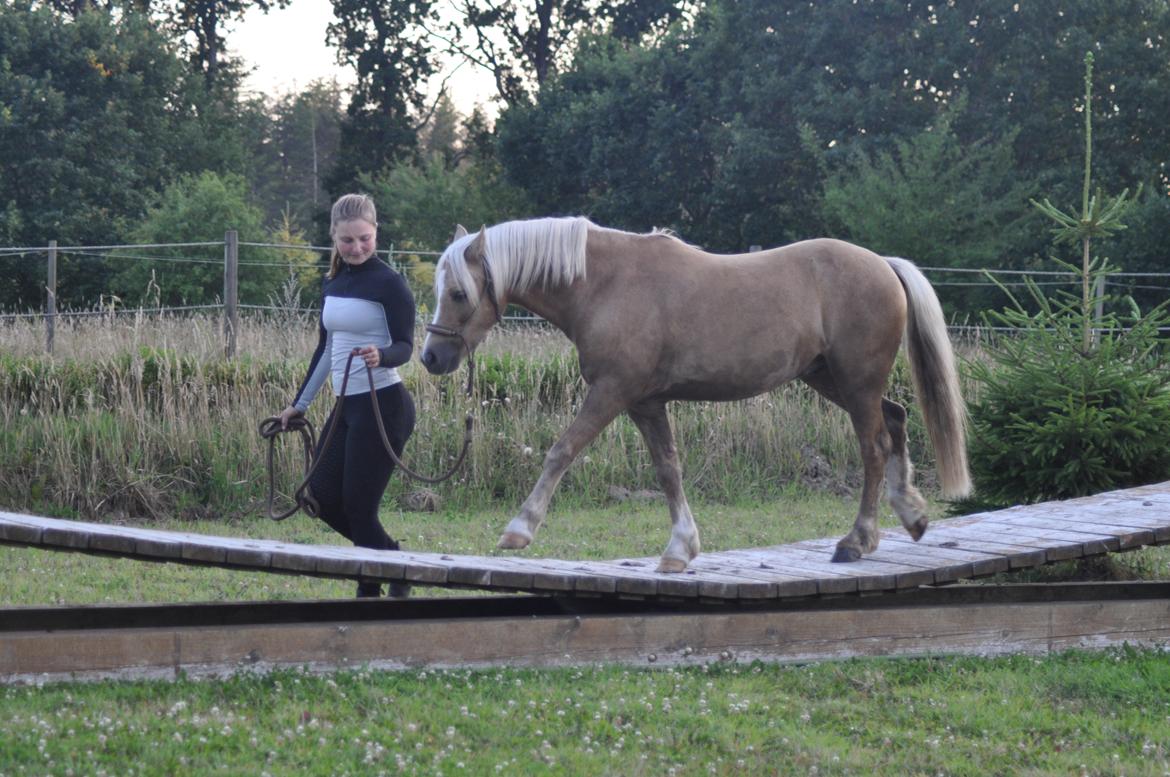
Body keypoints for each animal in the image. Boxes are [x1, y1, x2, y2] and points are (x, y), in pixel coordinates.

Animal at [420, 217, 970, 572]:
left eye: (459, 294)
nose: (431, 358)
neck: (604, 285)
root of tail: (882, 264)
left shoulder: (612, 392)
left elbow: (562, 450)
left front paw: (520, 528)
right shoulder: (645, 403)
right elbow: (668, 469)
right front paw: (680, 549)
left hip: (856, 382)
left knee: (874, 448)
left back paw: (857, 541)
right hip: (832, 379)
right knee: (895, 419)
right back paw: (913, 516)